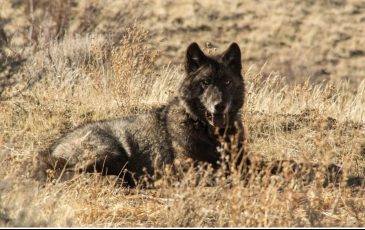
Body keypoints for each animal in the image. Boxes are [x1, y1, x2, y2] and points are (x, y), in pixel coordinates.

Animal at [37, 42, 247, 187]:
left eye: (227, 82)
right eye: (205, 82)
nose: (219, 105)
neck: (211, 134)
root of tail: (52, 148)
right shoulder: (189, 170)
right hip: (112, 154)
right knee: (76, 173)